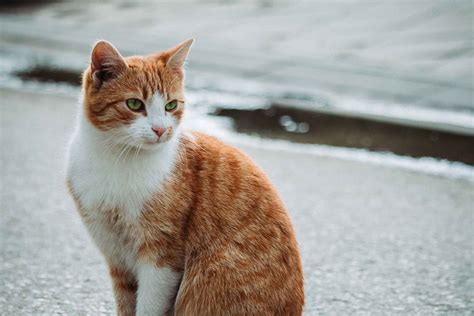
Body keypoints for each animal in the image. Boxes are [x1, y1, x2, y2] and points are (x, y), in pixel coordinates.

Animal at [65, 38, 304, 314]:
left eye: (171, 105)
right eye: (134, 104)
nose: (160, 129)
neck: (117, 159)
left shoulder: (162, 257)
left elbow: (148, 306)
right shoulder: (116, 257)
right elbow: (126, 305)